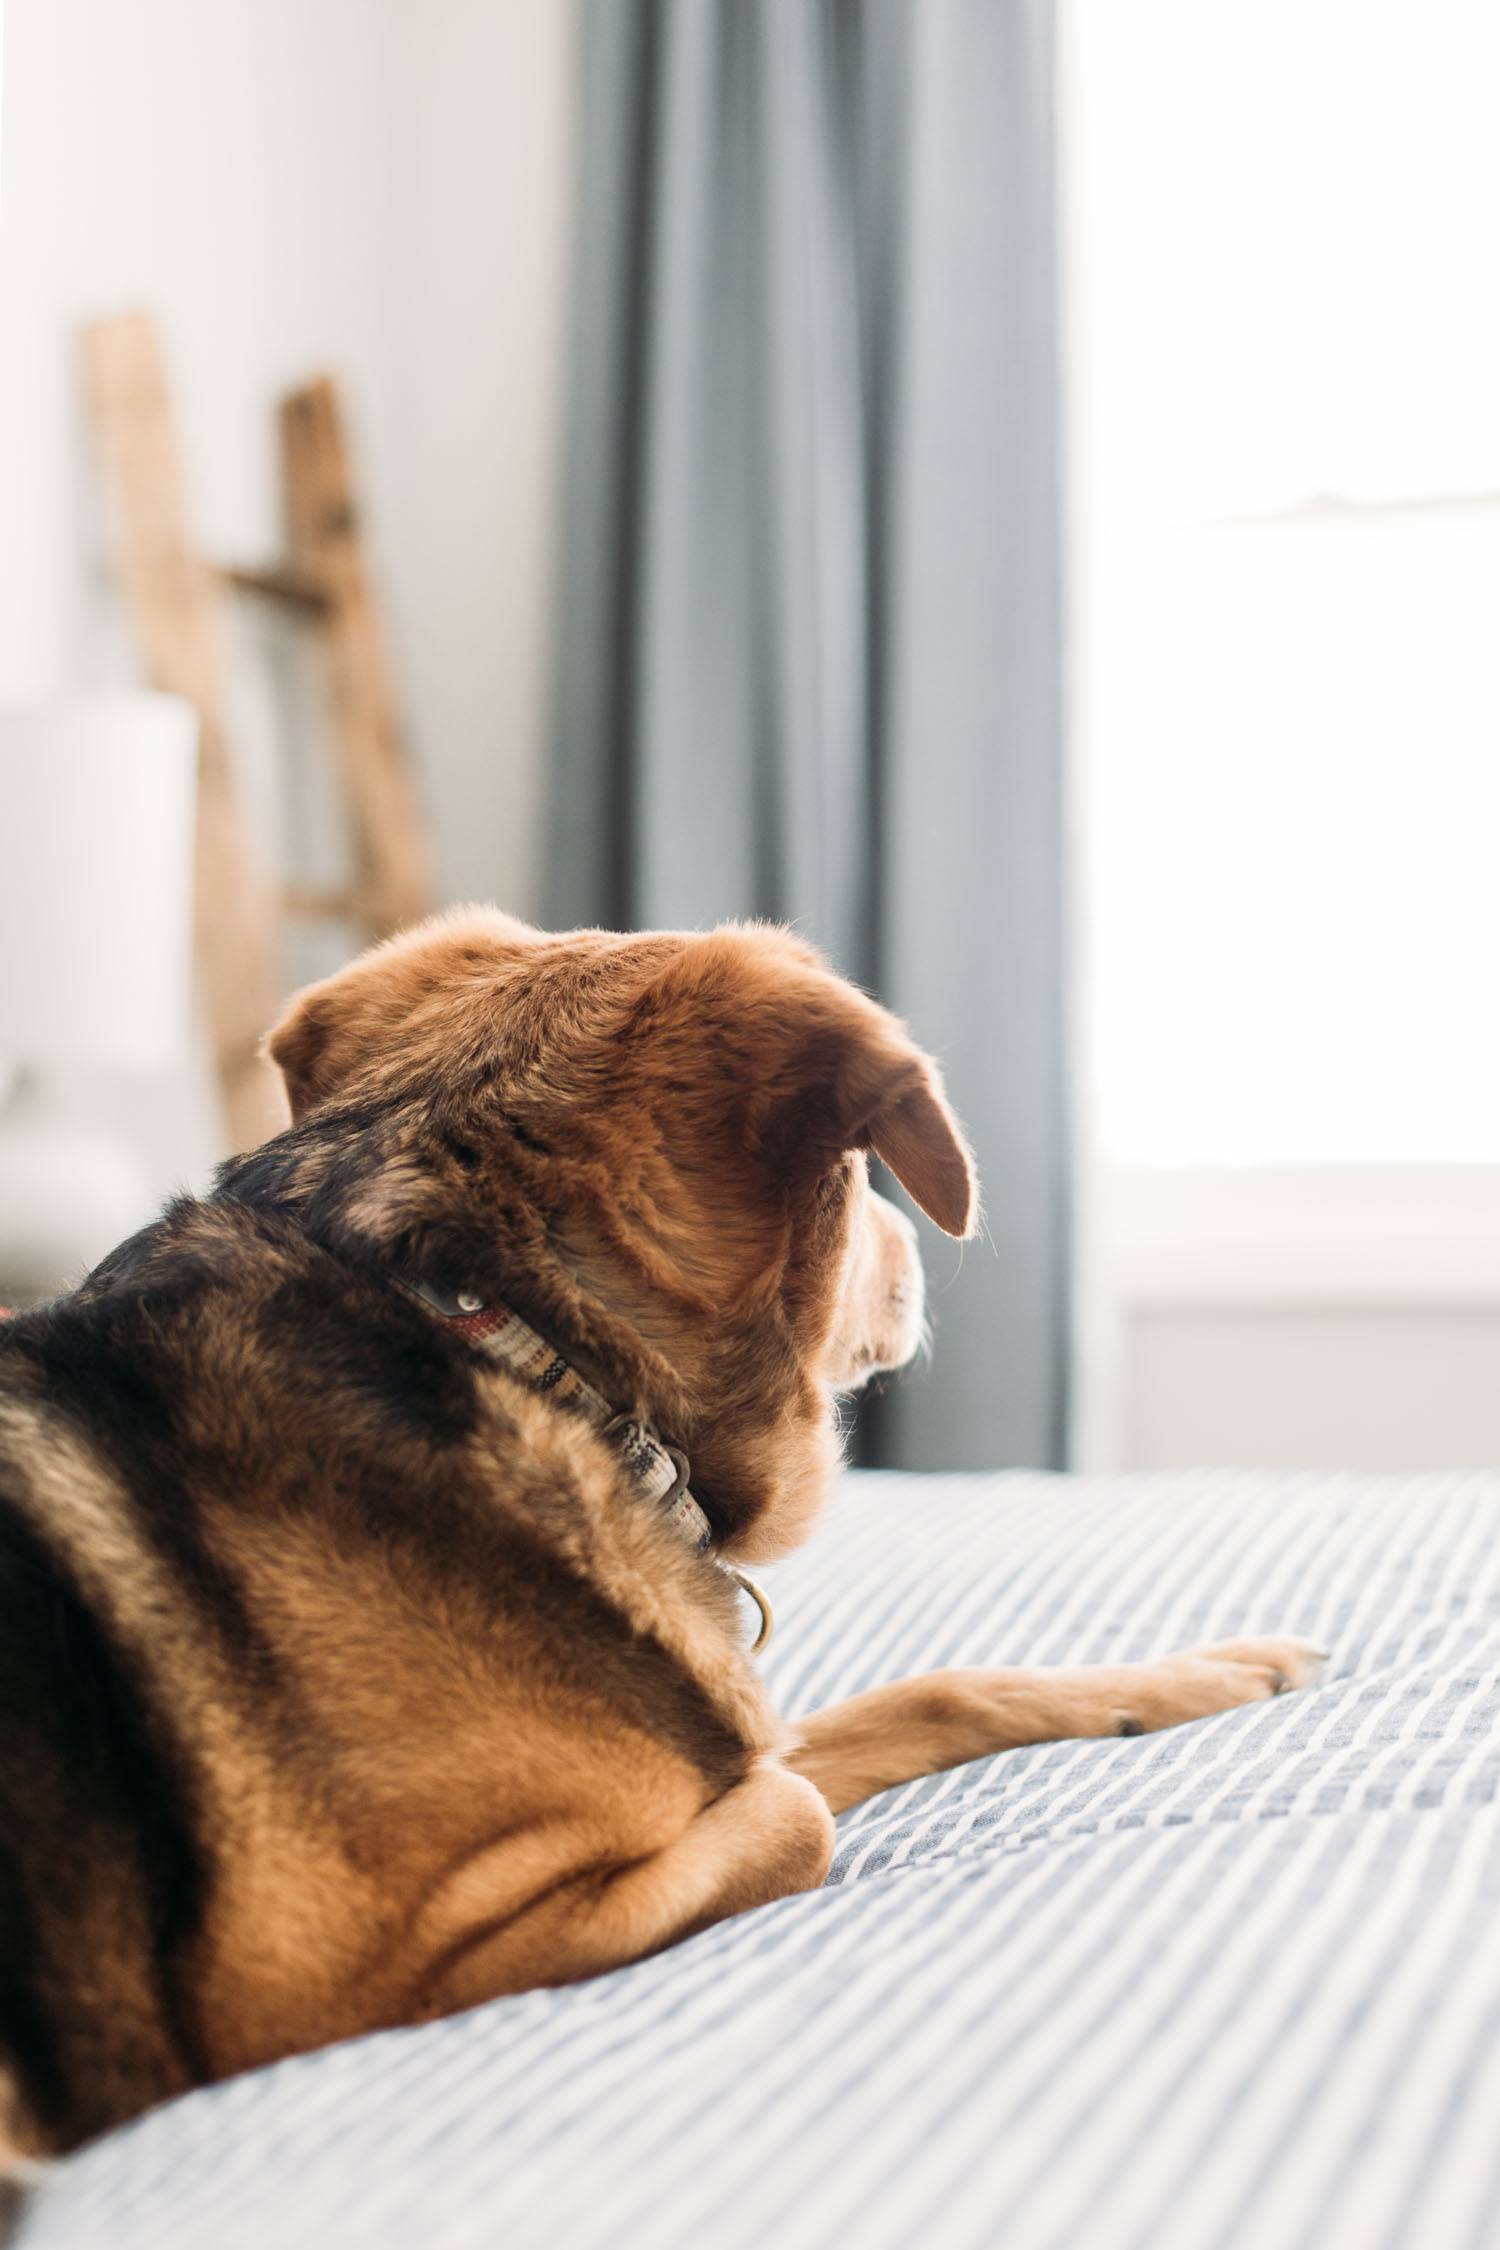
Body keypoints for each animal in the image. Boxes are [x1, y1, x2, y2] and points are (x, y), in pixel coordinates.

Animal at [0, 909, 1313, 2160]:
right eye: (864, 1179)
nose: (909, 1259)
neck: (523, 1352)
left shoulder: (712, 1729)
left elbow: (923, 1696)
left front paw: (1197, 1678)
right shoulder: (384, 1970)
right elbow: (800, 1808)